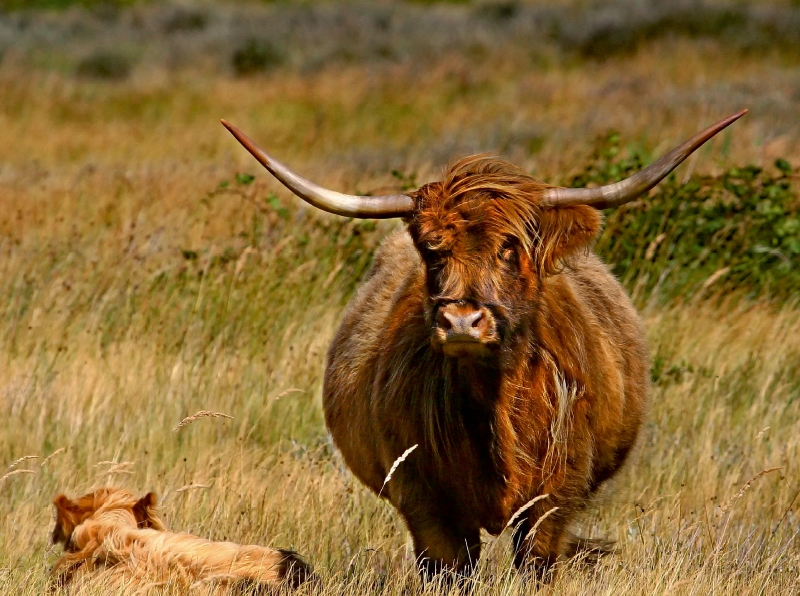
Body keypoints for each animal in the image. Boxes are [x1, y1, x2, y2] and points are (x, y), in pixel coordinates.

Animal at [222, 110, 748, 576]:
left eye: (510, 248)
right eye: (432, 251)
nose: (461, 321)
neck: (495, 405)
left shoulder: (556, 497)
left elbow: (537, 563)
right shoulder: (425, 501)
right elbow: (450, 569)